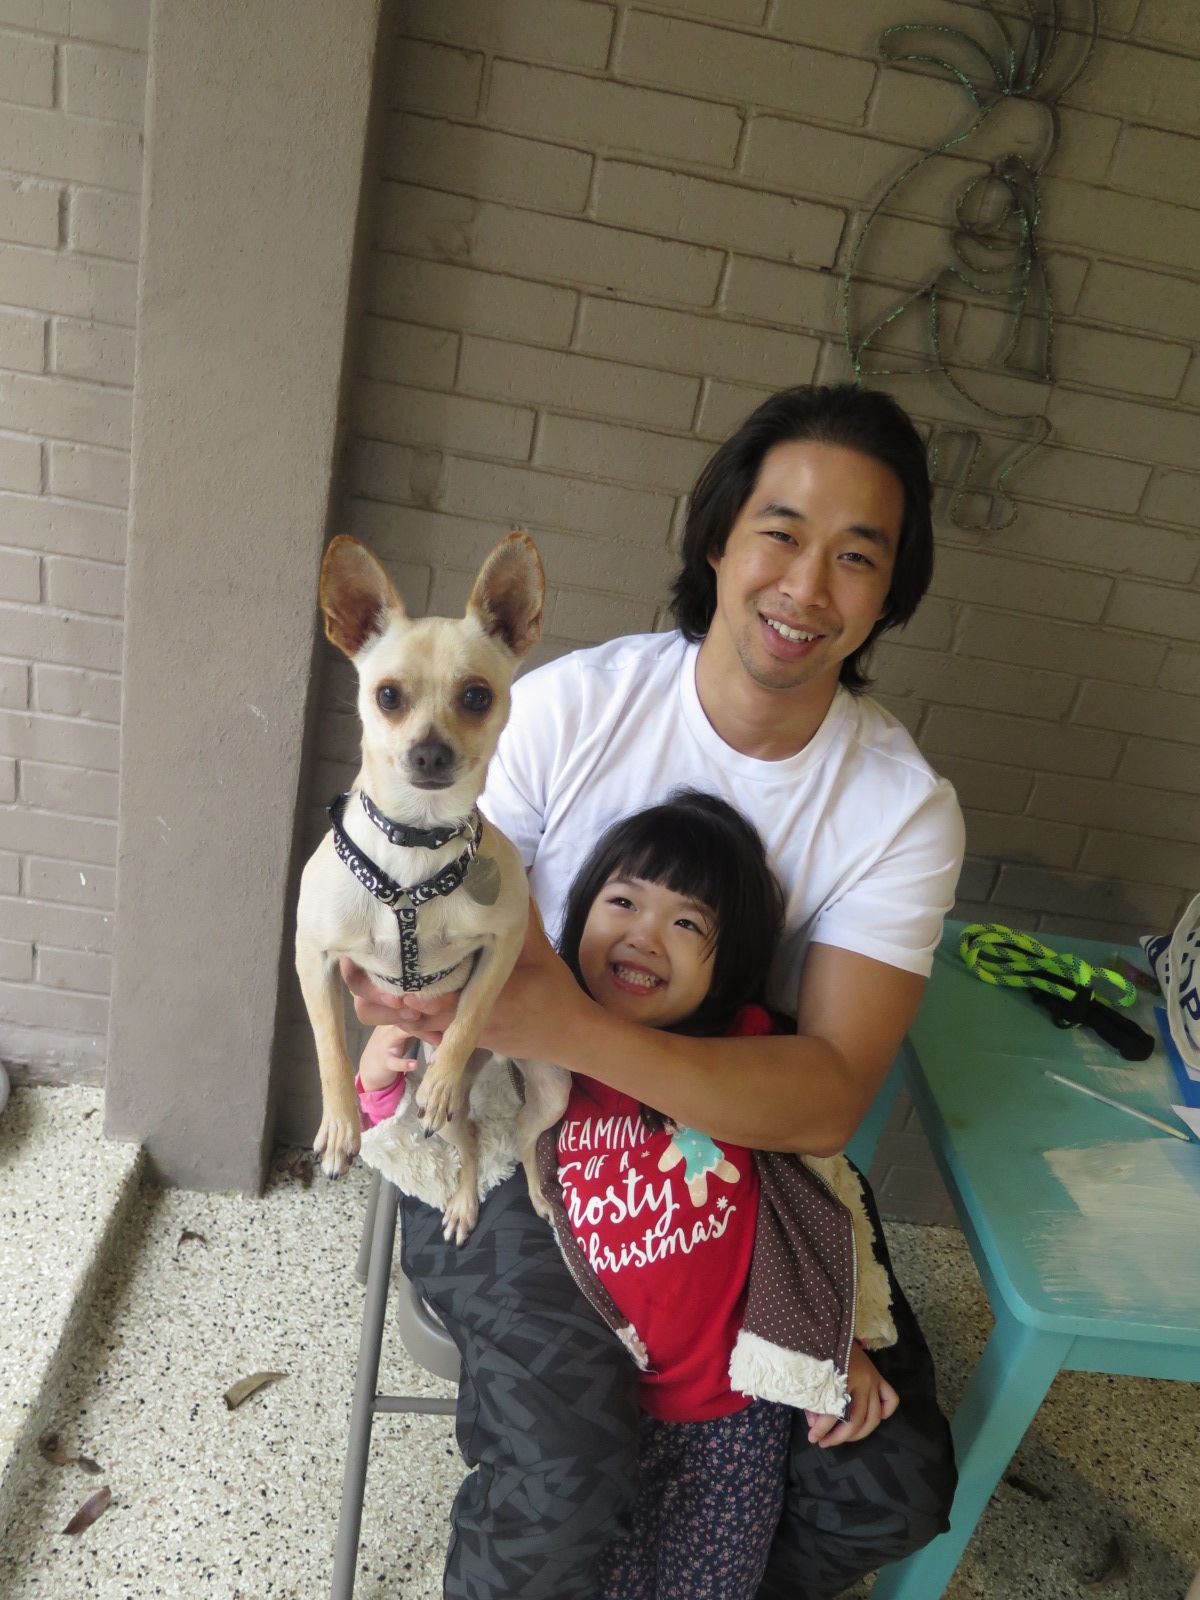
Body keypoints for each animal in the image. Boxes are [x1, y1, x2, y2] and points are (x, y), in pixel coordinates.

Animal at [295, 531, 569, 1244]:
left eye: (476, 697)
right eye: (388, 696)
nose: (430, 752)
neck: (416, 843)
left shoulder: (503, 944)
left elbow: (471, 1012)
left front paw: (444, 1075)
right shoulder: (314, 958)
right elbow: (328, 1044)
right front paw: (340, 1127)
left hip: (550, 1090)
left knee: (510, 1136)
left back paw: (506, 1187)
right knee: (470, 1139)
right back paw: (465, 1196)